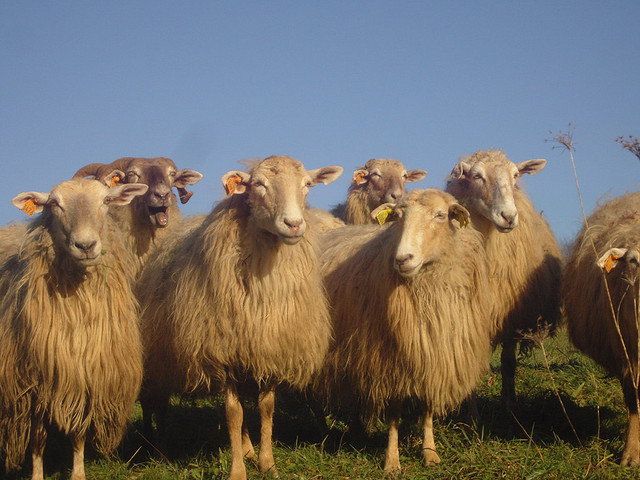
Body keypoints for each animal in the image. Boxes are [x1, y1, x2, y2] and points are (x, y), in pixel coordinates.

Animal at [0, 178, 148, 480]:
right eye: (54, 204)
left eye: (106, 200)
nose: (86, 245)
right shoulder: (35, 380)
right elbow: (37, 438)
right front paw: (36, 475)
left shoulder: (85, 374)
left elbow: (78, 432)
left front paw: (77, 473)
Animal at [137, 155, 343, 480]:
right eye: (258, 184)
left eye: (308, 185)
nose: (294, 224)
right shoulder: (222, 354)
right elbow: (233, 415)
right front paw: (237, 471)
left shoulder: (266, 350)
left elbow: (265, 409)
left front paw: (266, 464)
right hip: (158, 358)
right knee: (154, 405)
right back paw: (156, 449)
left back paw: (246, 449)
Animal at [317, 188, 492, 472]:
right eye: (397, 217)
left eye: (440, 215)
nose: (402, 259)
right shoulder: (390, 361)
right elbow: (394, 413)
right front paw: (392, 460)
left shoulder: (432, 351)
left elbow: (427, 408)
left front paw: (430, 452)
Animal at [445, 148, 562, 408]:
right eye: (476, 176)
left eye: (516, 175)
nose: (508, 216)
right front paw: (471, 412)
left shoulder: (511, 316)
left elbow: (508, 364)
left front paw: (509, 407)